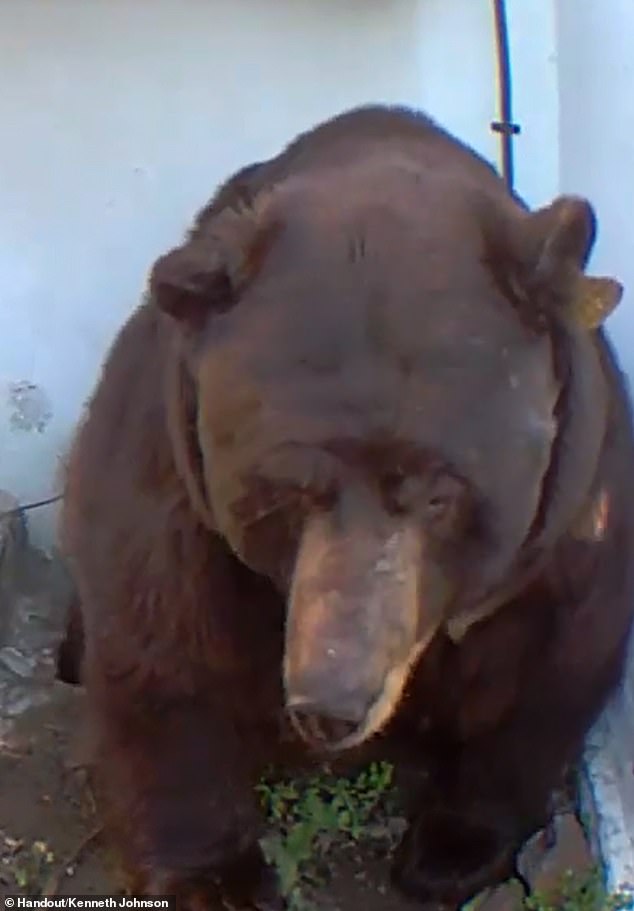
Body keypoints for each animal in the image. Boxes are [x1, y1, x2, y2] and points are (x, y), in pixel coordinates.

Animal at [56, 104, 634, 910]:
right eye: (287, 488)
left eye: (441, 493)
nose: (331, 703)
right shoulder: (172, 488)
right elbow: (161, 660)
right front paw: (220, 878)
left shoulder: (570, 517)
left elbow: (552, 666)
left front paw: (452, 847)